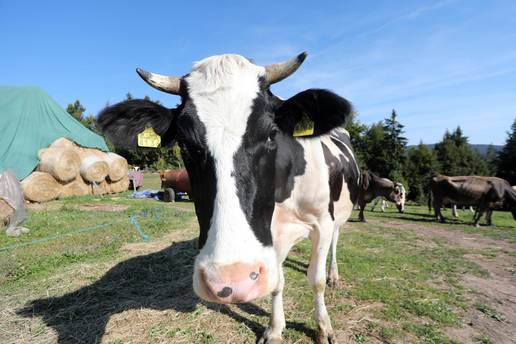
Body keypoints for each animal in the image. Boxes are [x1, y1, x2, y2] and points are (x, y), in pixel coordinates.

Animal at [97, 52, 358, 342]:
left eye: (271, 134)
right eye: (184, 144)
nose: (230, 280)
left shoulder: (322, 222)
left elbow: (316, 279)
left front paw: (323, 327)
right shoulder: (271, 239)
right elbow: (276, 282)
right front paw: (275, 328)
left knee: (335, 242)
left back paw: (334, 275)